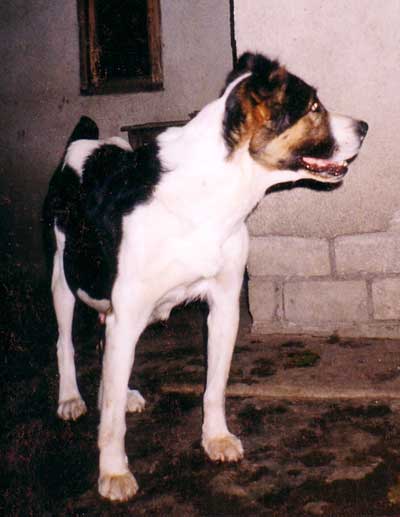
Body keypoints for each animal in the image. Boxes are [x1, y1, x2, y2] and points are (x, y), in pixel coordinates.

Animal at [44, 53, 368, 500]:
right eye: (314, 107)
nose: (365, 127)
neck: (212, 190)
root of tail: (82, 142)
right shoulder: (128, 313)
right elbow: (109, 419)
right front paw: (113, 472)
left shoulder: (224, 306)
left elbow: (214, 387)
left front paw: (215, 438)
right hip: (64, 278)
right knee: (65, 343)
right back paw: (71, 399)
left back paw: (122, 392)